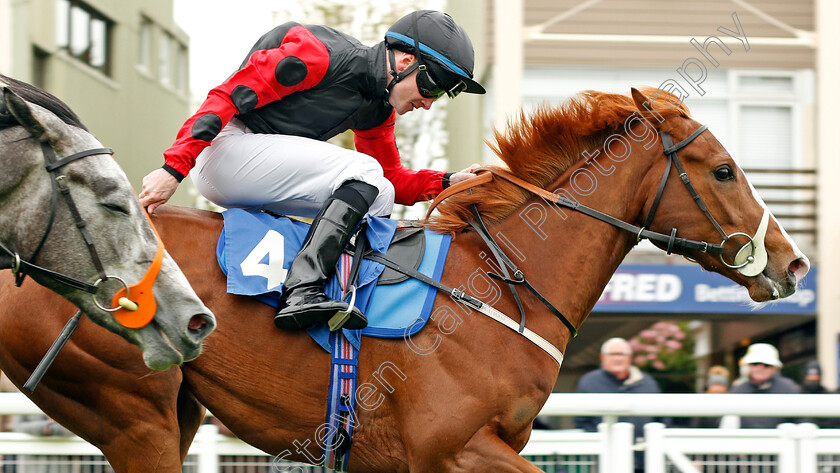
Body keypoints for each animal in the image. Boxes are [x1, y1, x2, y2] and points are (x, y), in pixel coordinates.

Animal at [0, 87, 812, 468]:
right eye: (723, 169)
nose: (794, 263)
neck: (501, 282)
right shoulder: (451, 448)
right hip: (129, 408)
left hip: (175, 410)